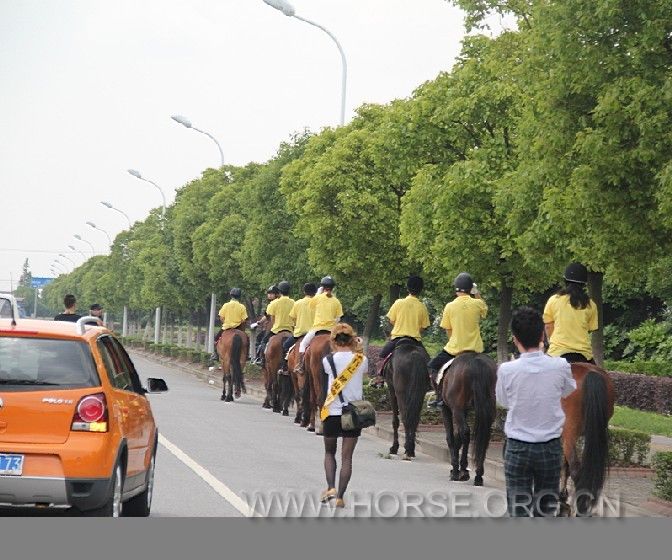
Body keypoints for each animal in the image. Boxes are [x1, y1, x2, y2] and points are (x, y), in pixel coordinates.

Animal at [438, 354, 496, 486]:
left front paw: (455, 469)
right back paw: (478, 475)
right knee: (484, 435)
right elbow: (457, 437)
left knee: (465, 432)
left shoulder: (447, 409)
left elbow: (451, 437)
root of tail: (476, 362)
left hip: (456, 409)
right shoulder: (464, 411)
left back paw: (461, 470)